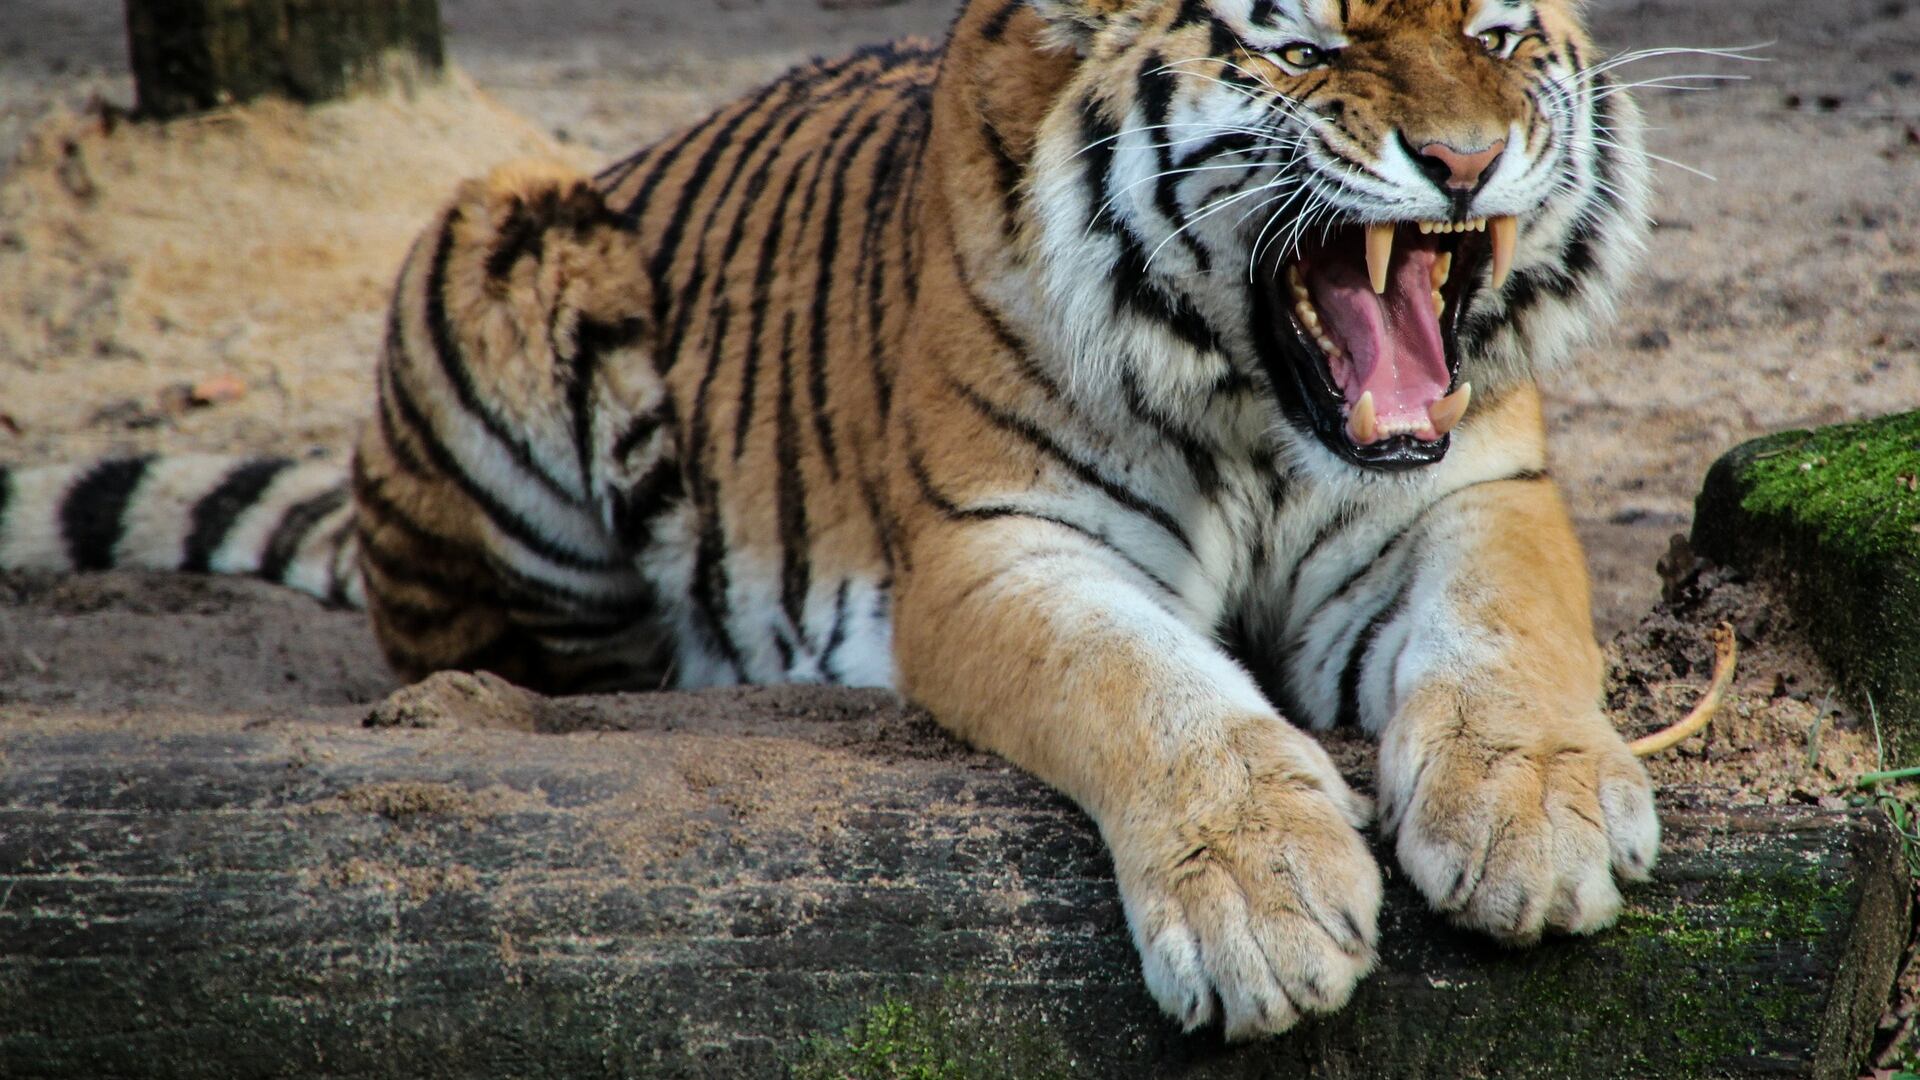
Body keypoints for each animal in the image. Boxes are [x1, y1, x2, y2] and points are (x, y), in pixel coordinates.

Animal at [0, 0, 1661, 1038]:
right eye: (1305, 48)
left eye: (1497, 37)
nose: (1464, 162)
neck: (1261, 405)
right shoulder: (998, 545)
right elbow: (1150, 691)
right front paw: (1264, 906)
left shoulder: (1470, 493)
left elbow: (1509, 631)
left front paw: (1536, 819)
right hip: (503, 226)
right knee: (512, 653)